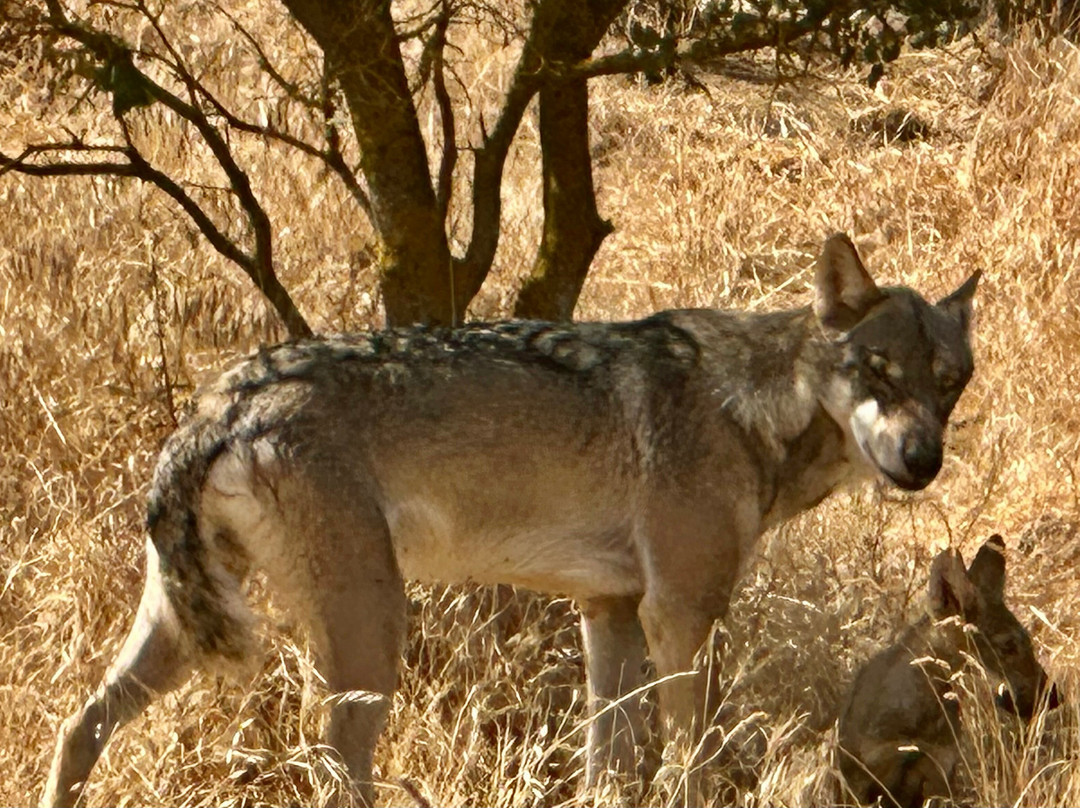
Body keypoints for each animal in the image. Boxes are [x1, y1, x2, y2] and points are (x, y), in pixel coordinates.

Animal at [43, 233, 979, 806]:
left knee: (79, 725)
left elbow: (609, 766)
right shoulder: (681, 613)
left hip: (183, 628)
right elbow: (694, 762)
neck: (750, 408)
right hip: (371, 632)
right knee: (332, 763)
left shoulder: (609, 612)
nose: (922, 460)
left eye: (949, 382)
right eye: (878, 370)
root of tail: (224, 401)